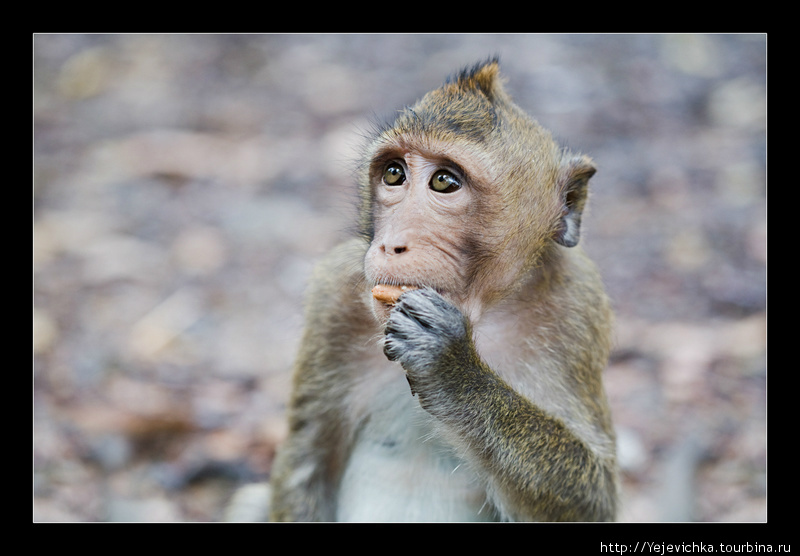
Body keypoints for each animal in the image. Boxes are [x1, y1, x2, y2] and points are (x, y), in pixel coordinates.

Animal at [266, 58, 616, 524]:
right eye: (394, 174)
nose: (391, 244)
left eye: (445, 182)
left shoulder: (578, 307)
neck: (485, 315)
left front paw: (452, 369)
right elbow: (308, 461)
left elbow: (595, 497)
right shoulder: (334, 296)